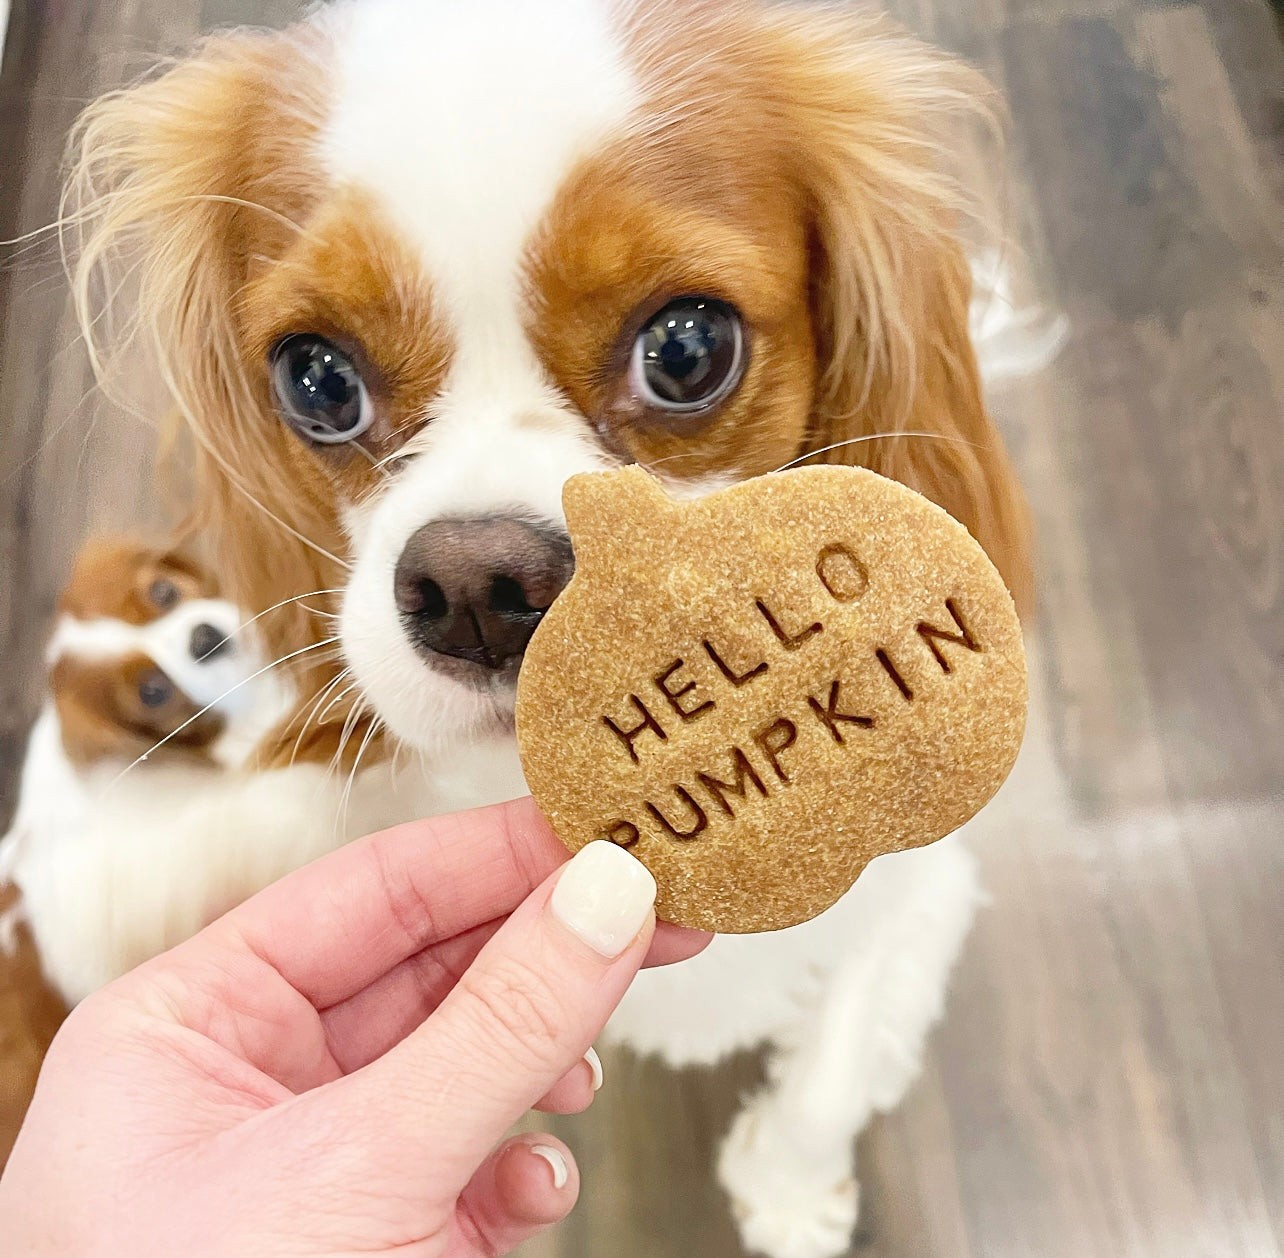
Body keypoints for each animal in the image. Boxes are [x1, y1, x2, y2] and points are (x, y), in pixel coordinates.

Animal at [20, 4, 1068, 1252]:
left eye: (687, 348)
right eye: (316, 379)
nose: (477, 584)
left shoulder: (919, 883)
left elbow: (841, 1044)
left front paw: (788, 1185)